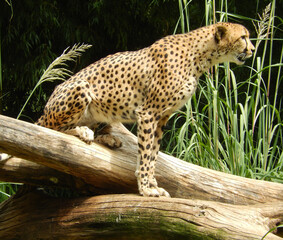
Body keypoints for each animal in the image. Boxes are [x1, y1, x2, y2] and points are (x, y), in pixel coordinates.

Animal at [2, 22, 256, 197]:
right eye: (243, 37)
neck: (200, 56)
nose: (253, 49)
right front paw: (146, 189)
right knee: (50, 130)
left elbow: (152, 155)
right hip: (82, 88)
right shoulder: (148, 114)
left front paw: (152, 185)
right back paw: (83, 132)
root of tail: (46, 106)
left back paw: (109, 138)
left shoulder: (161, 119)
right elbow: (144, 156)